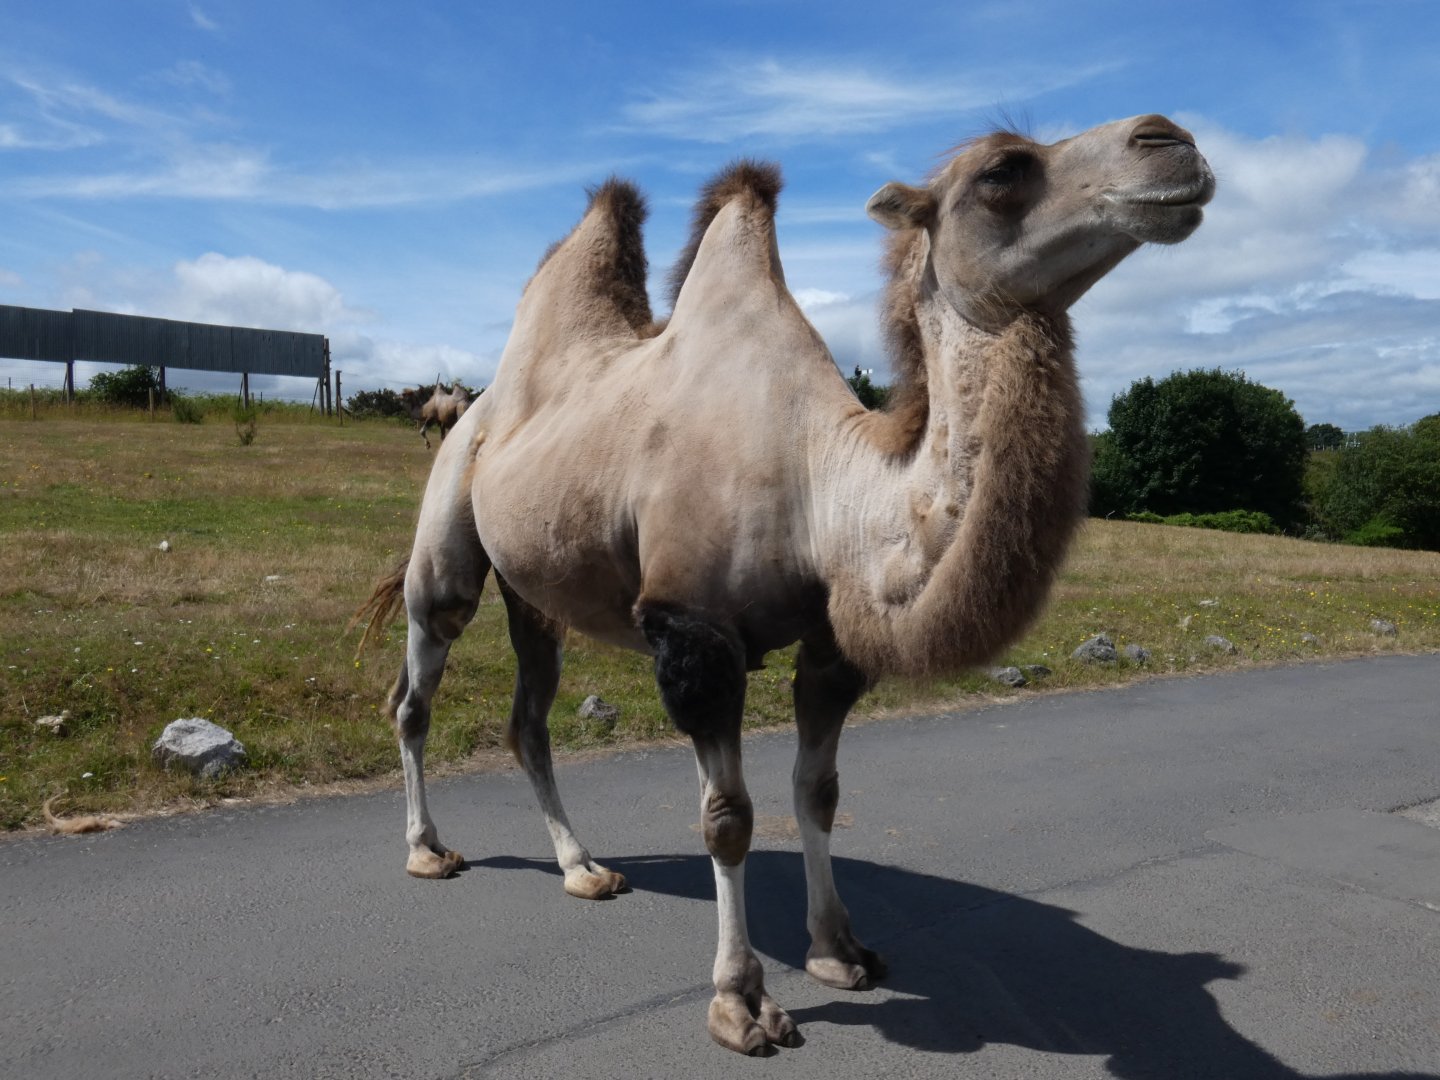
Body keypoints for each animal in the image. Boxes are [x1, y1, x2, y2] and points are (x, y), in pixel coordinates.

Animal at [358, 113, 1213, 1054]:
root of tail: (468, 408)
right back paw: (428, 850)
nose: (1170, 139)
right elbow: (728, 818)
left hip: (536, 588)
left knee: (530, 715)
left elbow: (819, 791)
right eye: (1002, 171)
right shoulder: (694, 632)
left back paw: (584, 869)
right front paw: (741, 1004)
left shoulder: (831, 644)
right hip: (448, 531)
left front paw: (841, 952)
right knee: (417, 685)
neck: (823, 490)